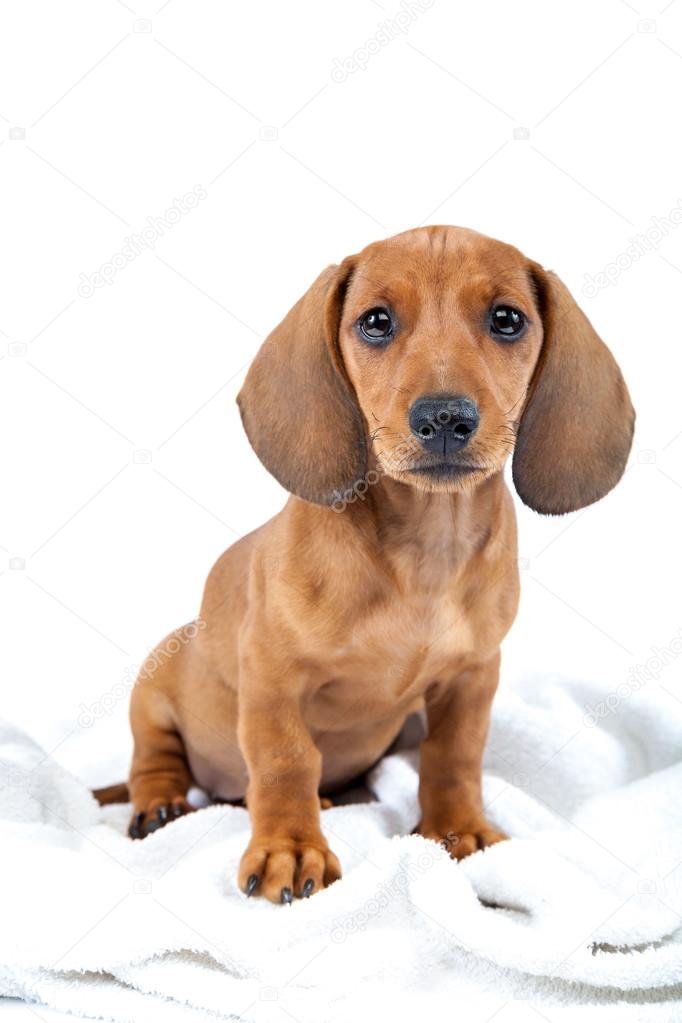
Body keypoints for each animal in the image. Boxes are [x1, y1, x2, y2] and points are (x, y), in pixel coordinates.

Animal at [100, 226, 633, 904]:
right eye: (376, 322)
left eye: (507, 319)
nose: (444, 418)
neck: (425, 551)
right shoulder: (272, 678)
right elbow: (286, 760)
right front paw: (289, 848)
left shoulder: (473, 676)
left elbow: (454, 757)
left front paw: (458, 829)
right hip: (153, 687)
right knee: (153, 759)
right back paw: (161, 803)